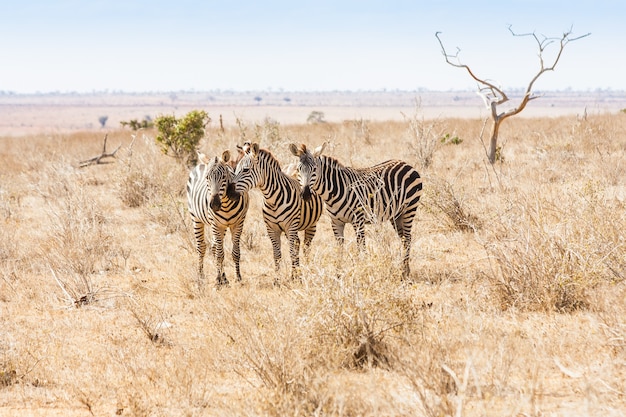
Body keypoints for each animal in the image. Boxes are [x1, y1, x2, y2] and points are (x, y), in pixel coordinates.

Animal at [184, 148, 247, 284]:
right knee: (202, 247)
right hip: (196, 219)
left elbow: (235, 252)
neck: (226, 205)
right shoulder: (216, 224)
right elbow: (220, 254)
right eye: (207, 178)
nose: (214, 204)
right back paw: (201, 276)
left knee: (214, 247)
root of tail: (202, 163)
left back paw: (224, 278)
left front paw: (238, 278)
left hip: (221, 226)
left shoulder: (238, 224)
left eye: (223, 177)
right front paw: (218, 281)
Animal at [230, 142, 326, 276]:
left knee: (306, 246)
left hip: (311, 224)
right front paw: (278, 277)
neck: (273, 200)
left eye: (245, 170)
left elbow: (291, 252)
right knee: (297, 243)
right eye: (235, 169)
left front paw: (294, 277)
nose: (229, 192)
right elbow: (277, 254)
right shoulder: (272, 229)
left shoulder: (291, 227)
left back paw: (307, 267)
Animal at [290, 143, 422, 280]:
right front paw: (338, 274)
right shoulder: (336, 222)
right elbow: (340, 248)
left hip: (409, 209)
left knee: (408, 238)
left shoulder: (358, 220)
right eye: (298, 169)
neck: (334, 191)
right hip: (396, 215)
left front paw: (363, 271)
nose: (305, 195)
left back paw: (404, 272)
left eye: (315, 169)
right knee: (404, 238)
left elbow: (361, 246)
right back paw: (405, 270)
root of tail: (405, 163)